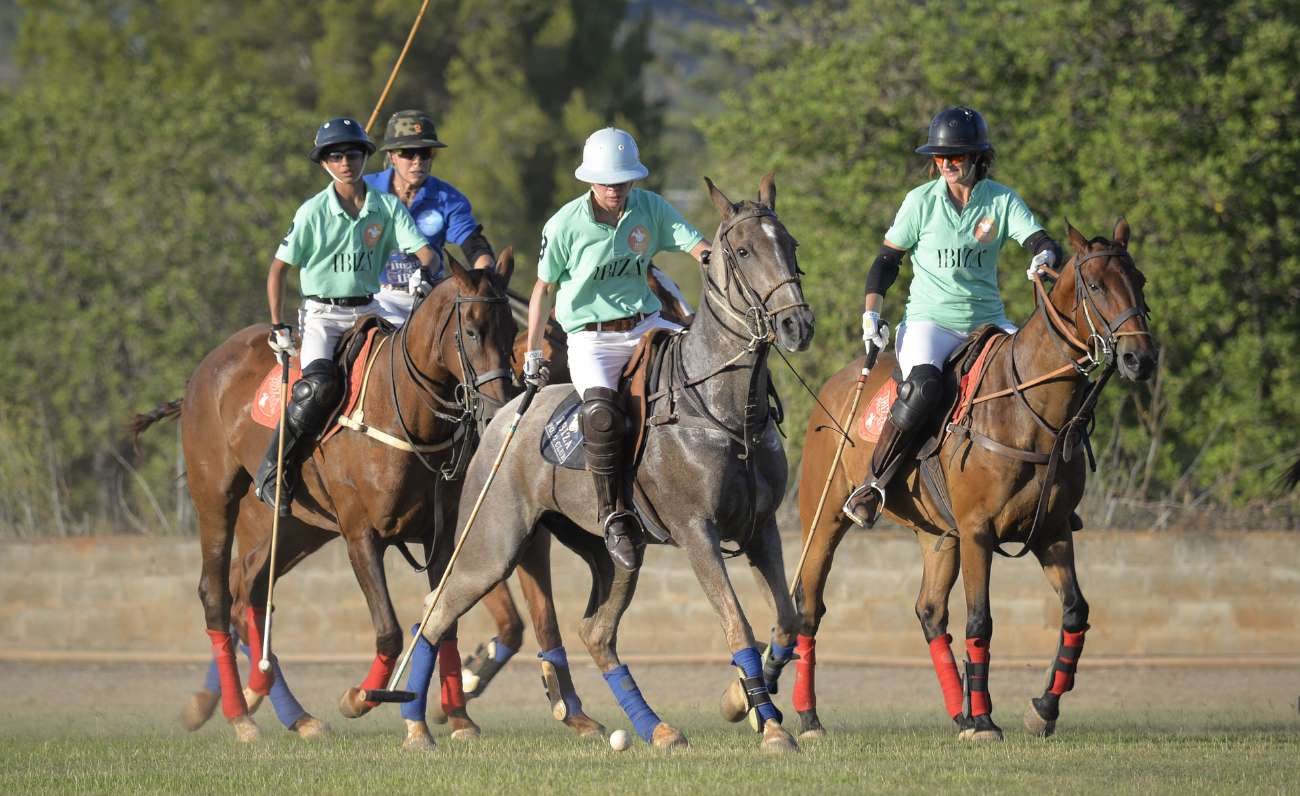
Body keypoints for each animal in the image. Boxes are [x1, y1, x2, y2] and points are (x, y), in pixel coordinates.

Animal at [382, 175, 811, 754]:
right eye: (743, 251)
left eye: (788, 243)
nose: (797, 324)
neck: (723, 408)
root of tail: (505, 413)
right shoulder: (697, 530)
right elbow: (737, 625)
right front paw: (768, 725)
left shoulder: (761, 527)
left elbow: (786, 620)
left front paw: (740, 700)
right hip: (491, 543)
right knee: (437, 609)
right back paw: (416, 727)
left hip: (613, 554)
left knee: (597, 632)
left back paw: (656, 728)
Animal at [774, 217, 1154, 738]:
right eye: (1095, 286)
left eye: (1140, 281)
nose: (1142, 358)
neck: (1029, 411)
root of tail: (838, 382)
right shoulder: (978, 530)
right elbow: (981, 621)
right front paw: (988, 720)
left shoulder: (1051, 529)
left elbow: (1076, 611)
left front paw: (1041, 709)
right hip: (826, 511)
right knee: (809, 603)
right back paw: (810, 716)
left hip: (938, 535)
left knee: (930, 612)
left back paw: (960, 712)